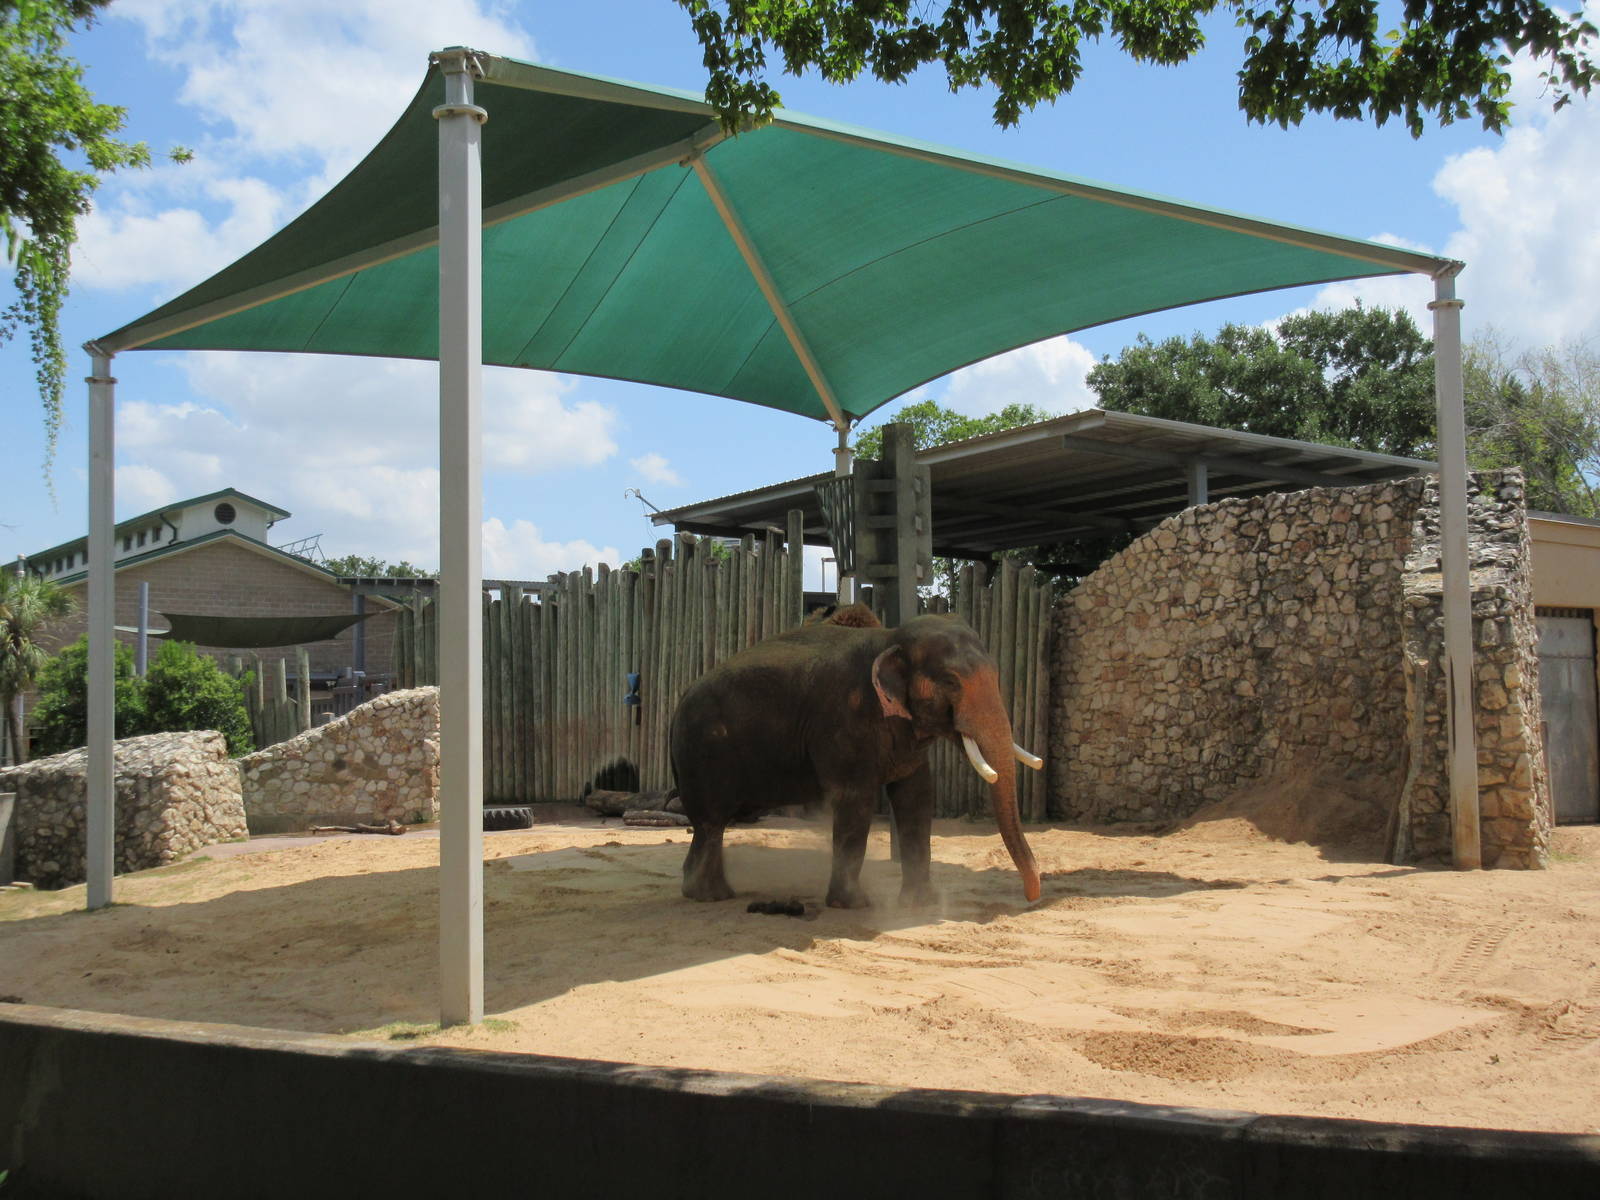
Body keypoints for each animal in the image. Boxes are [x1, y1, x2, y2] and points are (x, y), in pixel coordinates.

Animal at [669, 609, 1042, 908]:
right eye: (951, 682)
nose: (1030, 898)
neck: (890, 637)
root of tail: (680, 698)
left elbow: (917, 798)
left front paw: (920, 904)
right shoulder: (844, 720)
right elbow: (856, 799)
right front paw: (854, 904)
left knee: (708, 825)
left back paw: (704, 891)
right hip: (703, 752)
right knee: (712, 820)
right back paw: (710, 895)